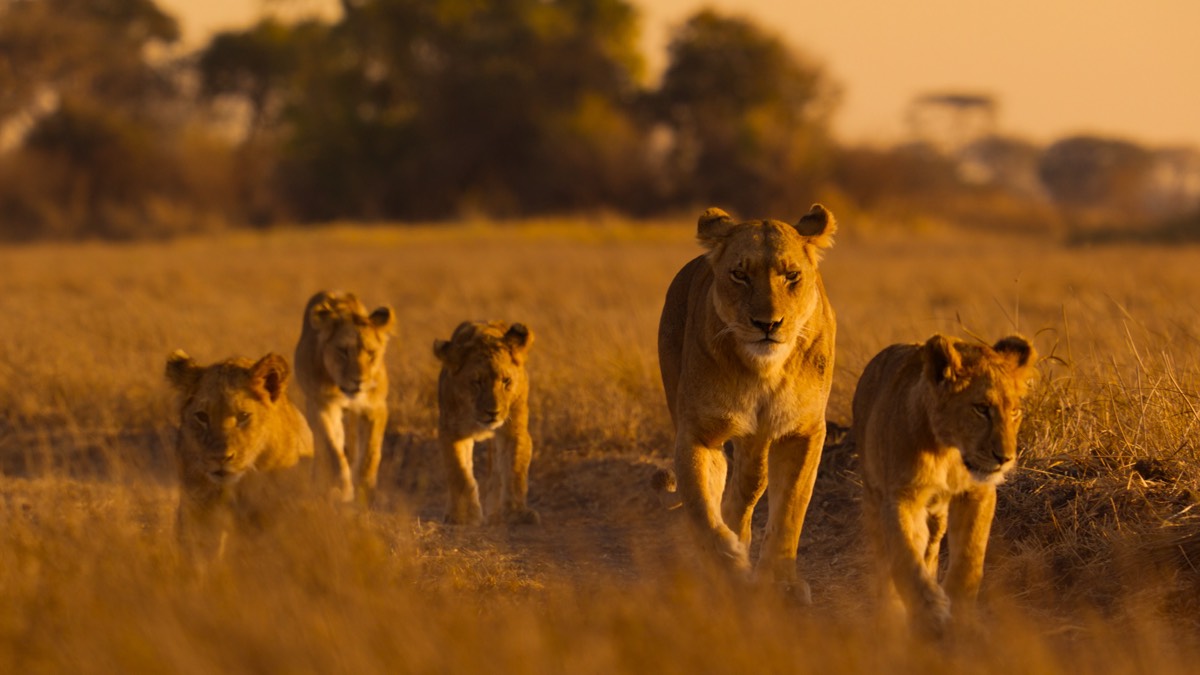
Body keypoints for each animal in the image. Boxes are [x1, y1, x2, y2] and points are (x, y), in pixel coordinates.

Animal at [294, 291, 395, 504]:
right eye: (343, 351)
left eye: (371, 353)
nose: (359, 381)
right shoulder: (322, 406)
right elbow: (333, 449)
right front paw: (343, 488)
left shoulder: (375, 407)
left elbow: (371, 451)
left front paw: (366, 487)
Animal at [433, 320, 539, 526]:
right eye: (477, 382)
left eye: (506, 381)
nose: (493, 413)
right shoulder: (451, 431)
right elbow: (459, 472)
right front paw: (464, 516)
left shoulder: (513, 430)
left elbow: (514, 470)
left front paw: (516, 513)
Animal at [658, 204, 837, 595]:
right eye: (739, 275)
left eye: (792, 275)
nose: (767, 324)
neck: (762, 371)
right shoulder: (697, 433)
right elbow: (701, 506)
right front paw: (728, 562)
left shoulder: (803, 432)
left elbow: (790, 509)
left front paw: (782, 581)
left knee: (749, 483)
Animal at [853, 334, 1037, 636]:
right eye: (981, 409)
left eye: (1015, 412)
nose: (1005, 458)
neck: (948, 451)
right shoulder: (901, 497)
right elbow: (905, 556)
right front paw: (930, 610)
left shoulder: (977, 493)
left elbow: (970, 557)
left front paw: (959, 614)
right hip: (872, 495)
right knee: (885, 558)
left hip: (937, 516)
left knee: (931, 547)